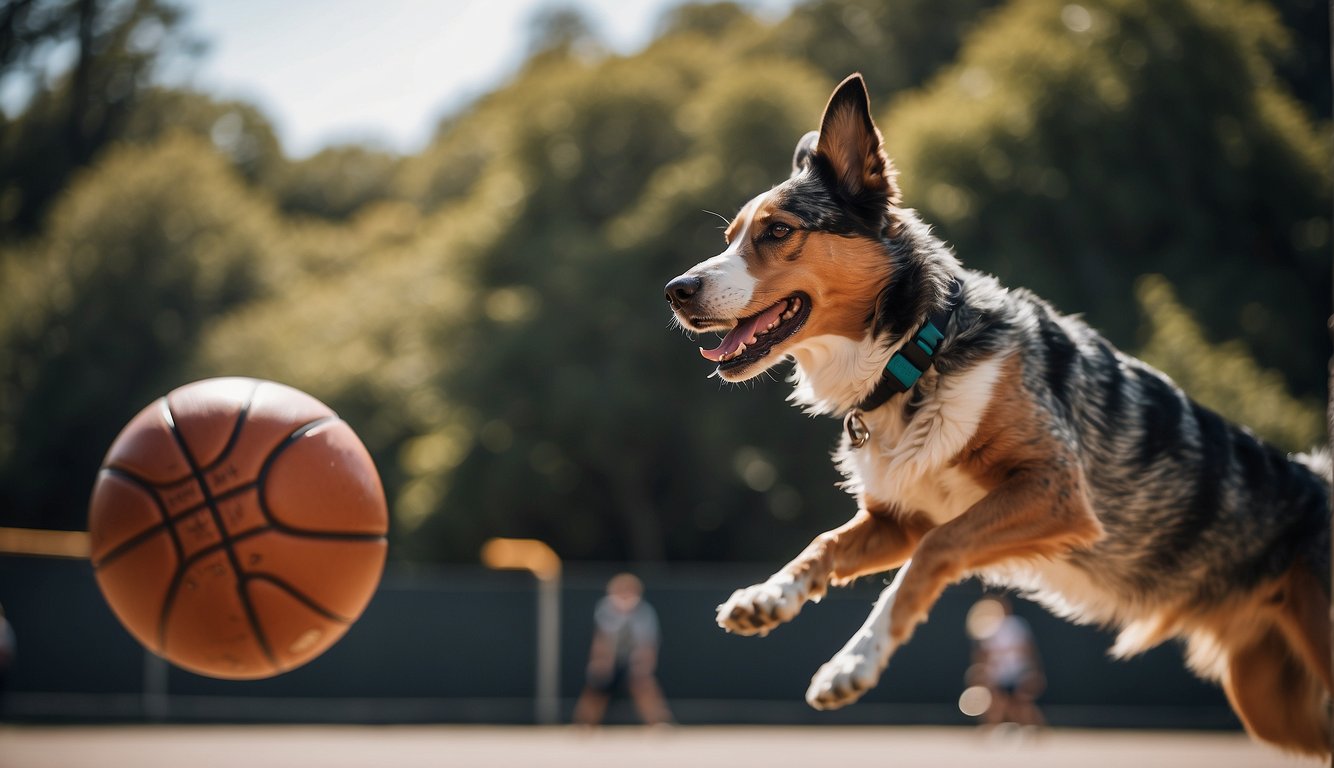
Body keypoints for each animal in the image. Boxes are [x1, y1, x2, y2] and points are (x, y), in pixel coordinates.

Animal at [661, 73, 1328, 757]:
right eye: (729, 238)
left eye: (776, 232)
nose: (676, 291)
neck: (917, 352)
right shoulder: (900, 520)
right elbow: (823, 545)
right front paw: (769, 596)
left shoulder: (1052, 493)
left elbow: (934, 556)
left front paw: (854, 663)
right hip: (1270, 701)